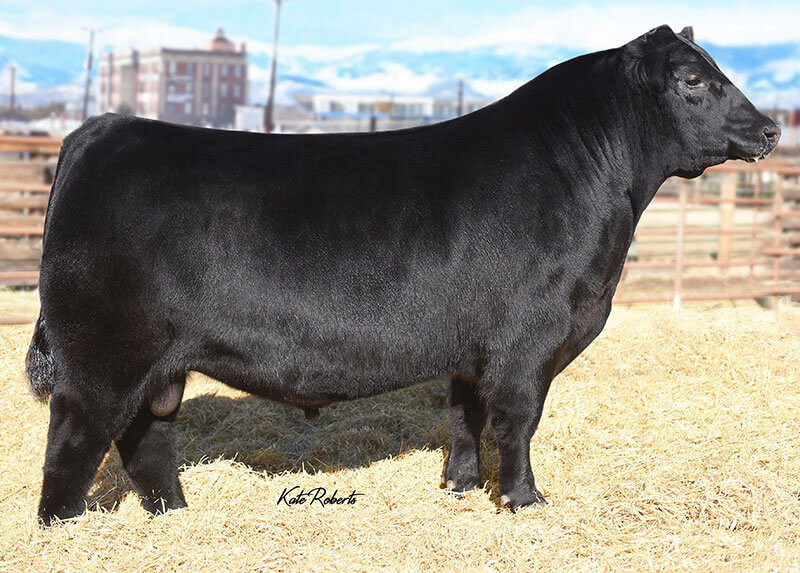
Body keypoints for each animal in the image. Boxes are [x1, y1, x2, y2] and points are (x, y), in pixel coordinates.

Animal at [27, 25, 779, 525]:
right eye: (692, 80)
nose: (771, 129)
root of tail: (103, 128)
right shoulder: (528, 340)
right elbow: (518, 422)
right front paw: (526, 501)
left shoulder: (474, 347)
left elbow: (465, 418)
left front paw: (462, 487)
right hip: (101, 355)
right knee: (75, 439)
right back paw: (67, 525)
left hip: (160, 363)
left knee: (146, 436)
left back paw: (177, 514)